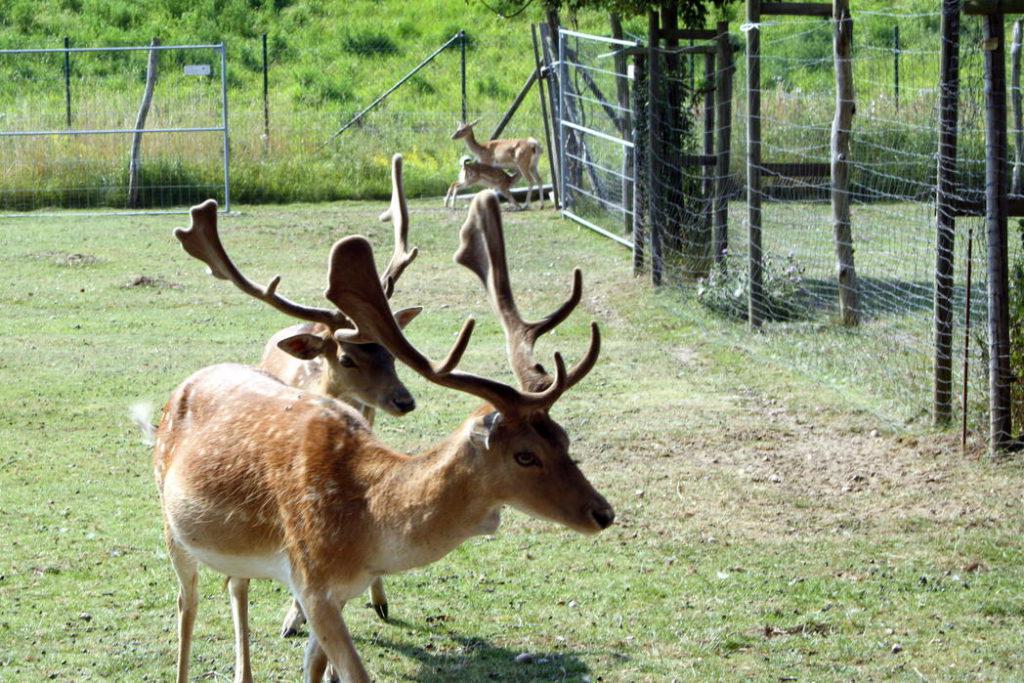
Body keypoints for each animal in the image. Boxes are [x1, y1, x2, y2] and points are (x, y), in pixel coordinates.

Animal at [152, 189, 610, 679]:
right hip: (171, 523)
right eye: (525, 455)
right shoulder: (311, 583)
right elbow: (353, 672)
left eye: (563, 438)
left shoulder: (337, 592)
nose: (603, 513)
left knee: (235, 585)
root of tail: (187, 382)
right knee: (186, 602)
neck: (369, 527)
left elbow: (317, 669)